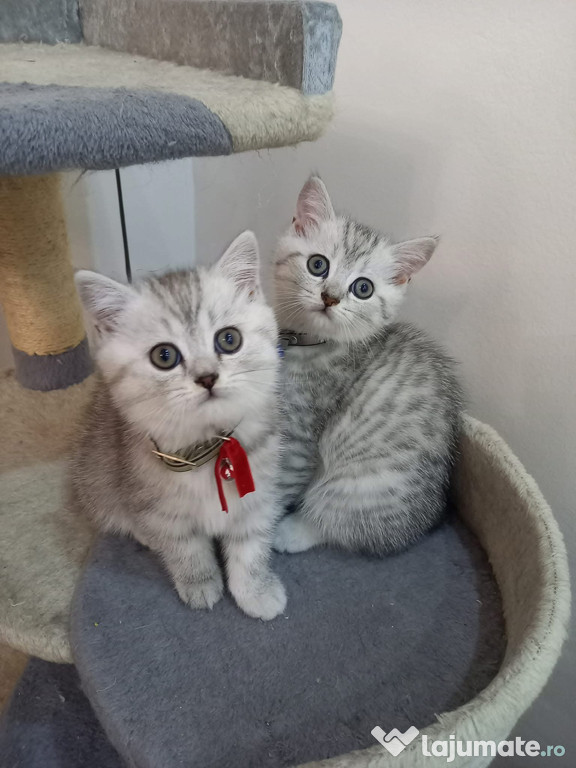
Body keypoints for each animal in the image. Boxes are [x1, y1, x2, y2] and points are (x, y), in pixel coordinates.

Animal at [72, 231, 288, 620]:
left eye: (229, 339)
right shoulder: (159, 508)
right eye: (164, 356)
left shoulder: (258, 493)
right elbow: (185, 549)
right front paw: (200, 583)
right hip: (94, 477)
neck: (208, 446)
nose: (207, 377)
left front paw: (256, 590)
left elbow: (250, 547)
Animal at [274, 177, 464, 556]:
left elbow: (279, 486)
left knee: (338, 523)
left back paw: (291, 533)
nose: (330, 297)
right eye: (318, 265)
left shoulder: (303, 436)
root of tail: (427, 520)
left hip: (361, 485)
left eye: (363, 288)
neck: (306, 344)